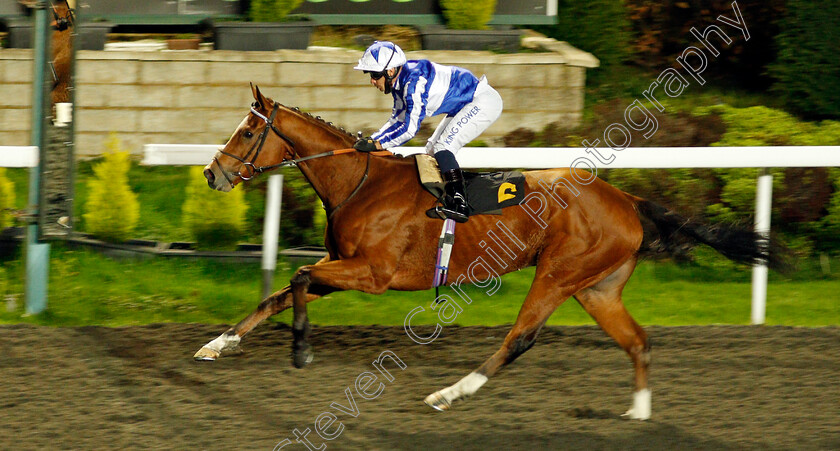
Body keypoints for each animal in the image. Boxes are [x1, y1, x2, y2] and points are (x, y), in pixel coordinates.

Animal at [194, 85, 784, 420]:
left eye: (246, 131)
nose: (211, 173)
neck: (360, 183)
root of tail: (628, 199)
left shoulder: (373, 273)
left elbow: (294, 277)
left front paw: (301, 350)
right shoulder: (343, 266)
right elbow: (279, 291)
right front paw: (217, 344)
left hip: (558, 274)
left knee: (519, 338)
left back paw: (448, 394)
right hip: (596, 287)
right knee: (637, 341)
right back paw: (638, 414)